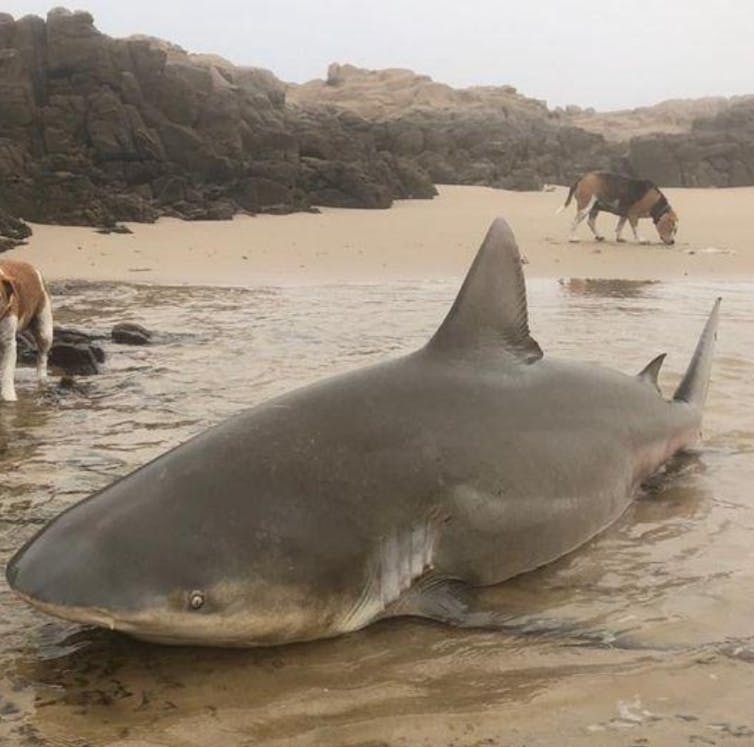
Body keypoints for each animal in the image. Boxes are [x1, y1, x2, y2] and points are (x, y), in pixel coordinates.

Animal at [0, 258, 53, 400]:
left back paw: (41, 379)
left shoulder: (8, 344)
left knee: (42, 357)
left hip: (45, 331)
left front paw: (9, 397)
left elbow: (7, 373)